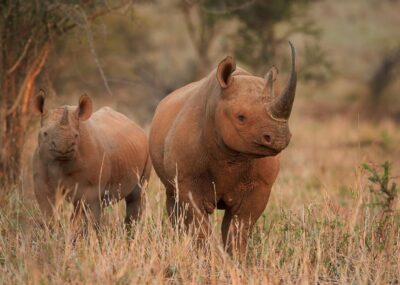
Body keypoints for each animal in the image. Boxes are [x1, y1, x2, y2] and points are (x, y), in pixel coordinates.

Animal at [32, 92, 152, 227]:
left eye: (76, 136)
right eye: (45, 133)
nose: (62, 148)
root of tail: (137, 126)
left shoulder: (89, 188)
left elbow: (80, 215)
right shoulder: (41, 179)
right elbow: (48, 210)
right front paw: (52, 229)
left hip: (146, 150)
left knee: (136, 195)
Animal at [149, 41, 296, 253]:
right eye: (241, 117)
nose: (280, 138)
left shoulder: (260, 185)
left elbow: (239, 227)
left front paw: (237, 259)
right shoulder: (186, 180)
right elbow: (199, 225)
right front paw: (208, 257)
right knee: (173, 201)